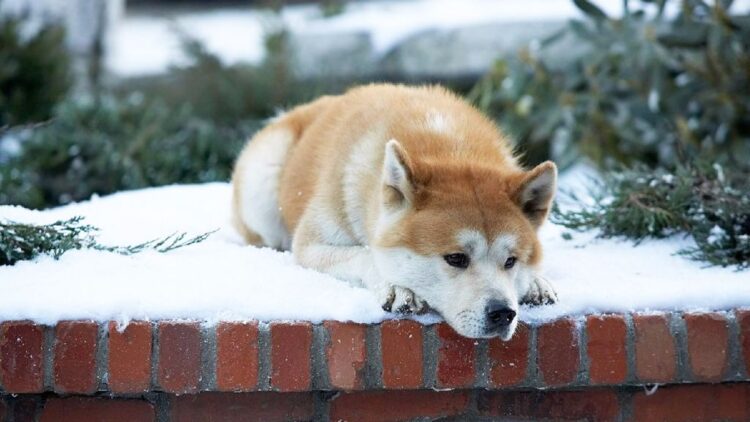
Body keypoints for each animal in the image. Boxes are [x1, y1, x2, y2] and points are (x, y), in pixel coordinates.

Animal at [234, 83, 560, 340]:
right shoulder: (310, 245)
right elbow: (364, 254)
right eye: (456, 258)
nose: (503, 313)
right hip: (263, 180)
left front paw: (535, 282)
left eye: (511, 261)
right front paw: (396, 287)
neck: (449, 148)